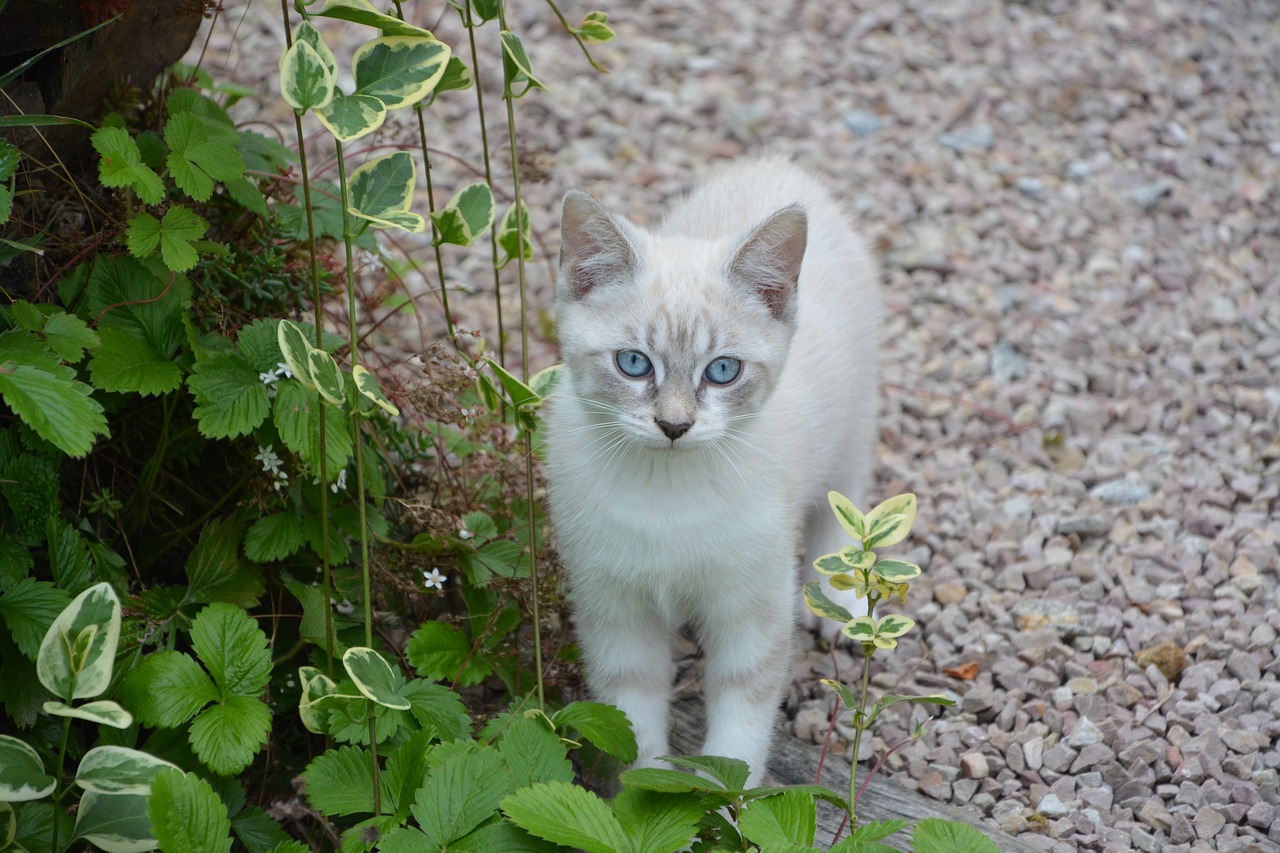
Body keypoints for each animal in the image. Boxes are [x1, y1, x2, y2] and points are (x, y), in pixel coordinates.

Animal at [540, 157, 880, 783]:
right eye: (633, 364)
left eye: (722, 370)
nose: (674, 425)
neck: (667, 495)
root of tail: (780, 164)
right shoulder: (612, 607)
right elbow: (633, 715)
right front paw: (645, 795)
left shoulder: (753, 604)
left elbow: (739, 726)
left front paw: (726, 803)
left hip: (854, 421)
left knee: (840, 502)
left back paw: (835, 599)